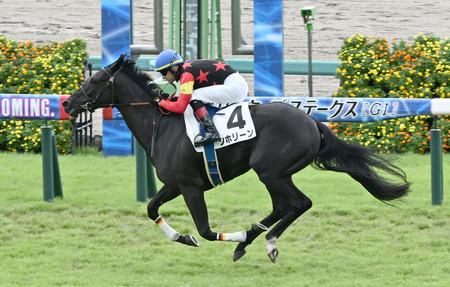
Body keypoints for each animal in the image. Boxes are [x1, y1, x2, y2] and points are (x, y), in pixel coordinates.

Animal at [61, 55, 410, 264]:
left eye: (94, 81)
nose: (66, 104)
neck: (163, 125)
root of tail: (313, 122)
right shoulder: (174, 184)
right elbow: (151, 209)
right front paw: (183, 237)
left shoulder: (191, 187)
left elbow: (204, 229)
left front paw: (222, 236)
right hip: (276, 174)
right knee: (283, 206)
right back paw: (251, 241)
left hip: (270, 171)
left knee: (300, 203)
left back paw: (262, 241)